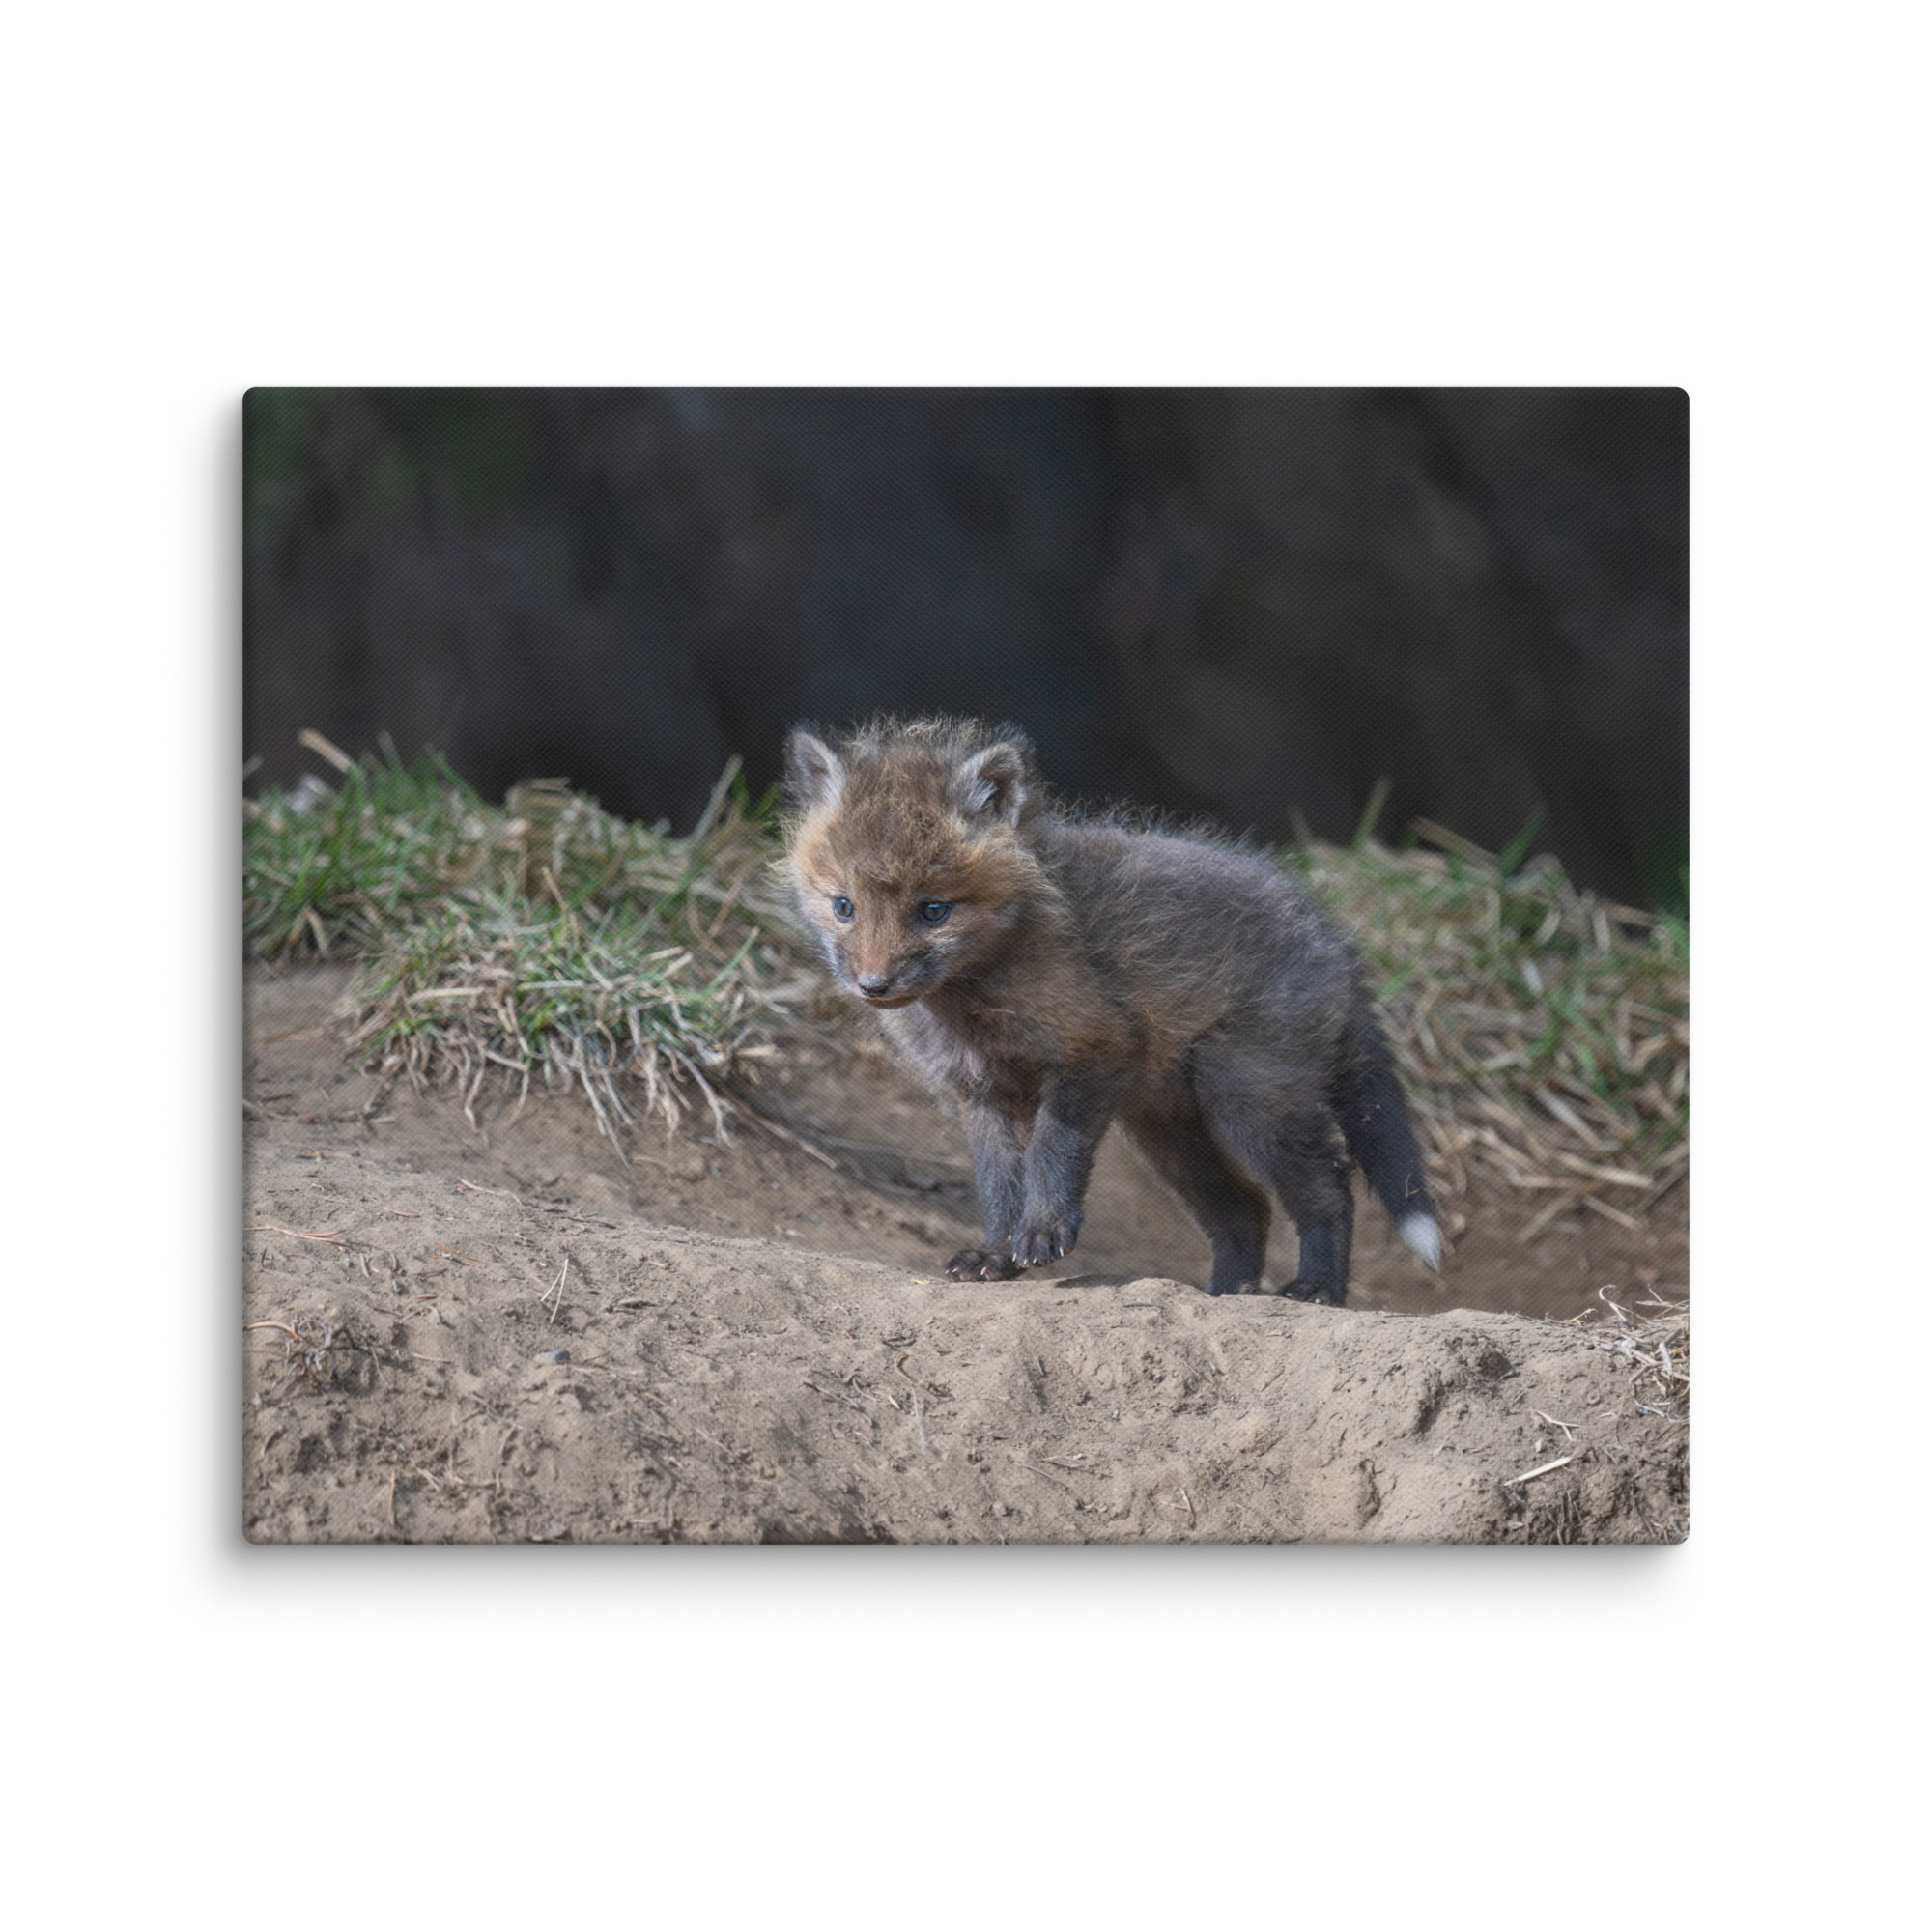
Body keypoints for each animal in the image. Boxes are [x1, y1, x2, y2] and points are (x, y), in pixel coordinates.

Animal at [781, 716, 1442, 1305]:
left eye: (933, 910)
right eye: (844, 906)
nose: (873, 985)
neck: (972, 1004)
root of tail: (1334, 939)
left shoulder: (1094, 1049)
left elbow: (1051, 1153)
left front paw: (1043, 1233)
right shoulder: (983, 1092)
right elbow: (998, 1184)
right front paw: (995, 1254)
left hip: (1248, 1099)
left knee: (1329, 1188)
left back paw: (1317, 1288)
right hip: (1168, 1132)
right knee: (1245, 1210)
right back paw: (1226, 1294)